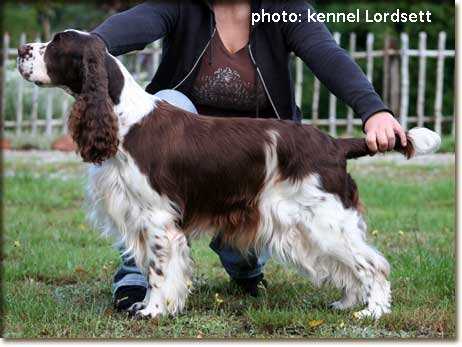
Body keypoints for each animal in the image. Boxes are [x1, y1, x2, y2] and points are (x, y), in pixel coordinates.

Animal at [17, 30, 440, 320]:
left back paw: (372, 311)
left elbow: (158, 269)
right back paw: (347, 302)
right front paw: (156, 307)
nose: (21, 52)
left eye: (56, 44)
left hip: (325, 220)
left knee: (373, 263)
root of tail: (335, 144)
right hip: (310, 226)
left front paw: (152, 311)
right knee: (347, 266)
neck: (124, 120)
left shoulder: (157, 218)